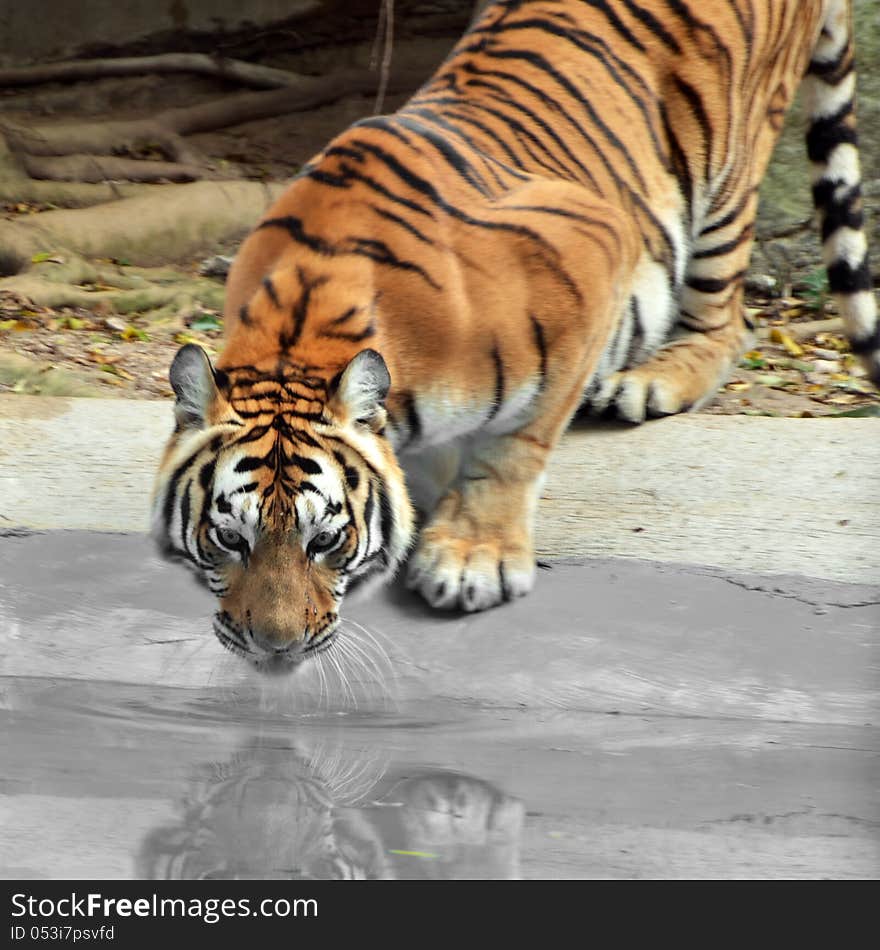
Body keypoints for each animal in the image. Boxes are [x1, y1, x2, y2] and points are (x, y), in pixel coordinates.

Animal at [150, 0, 872, 672]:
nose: (273, 649)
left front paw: (471, 556)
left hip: (730, 166)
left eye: (323, 541)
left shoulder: (593, 248)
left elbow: (512, 446)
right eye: (228, 539)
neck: (297, 333)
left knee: (731, 317)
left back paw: (649, 381)